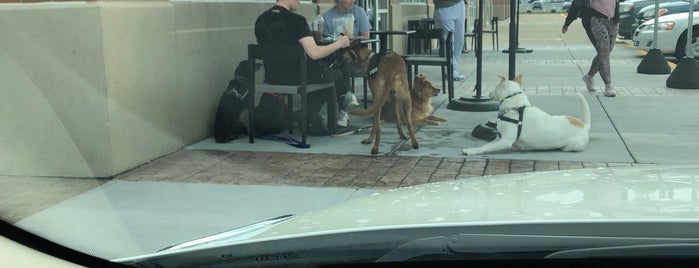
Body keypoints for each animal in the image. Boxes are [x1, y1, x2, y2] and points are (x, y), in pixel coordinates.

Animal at [464, 75, 592, 155]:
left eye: (495, 87)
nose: (489, 93)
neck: (516, 108)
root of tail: (584, 126)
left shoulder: (505, 141)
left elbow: (486, 147)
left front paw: (471, 151)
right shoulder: (499, 138)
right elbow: (485, 145)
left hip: (573, 145)